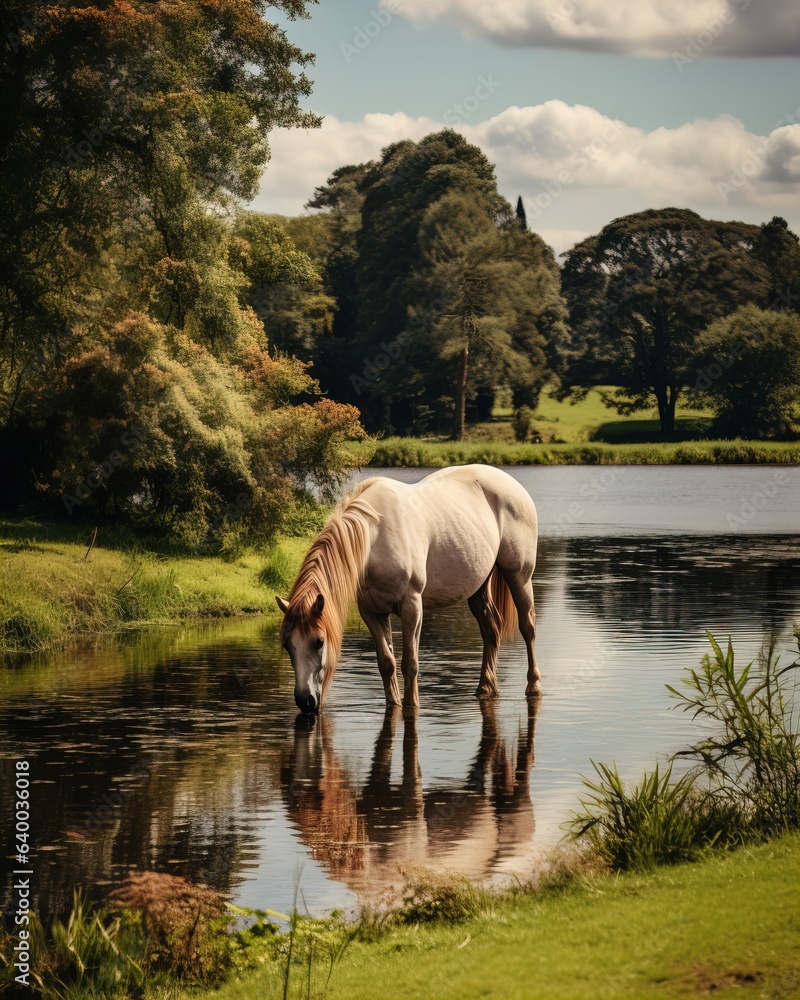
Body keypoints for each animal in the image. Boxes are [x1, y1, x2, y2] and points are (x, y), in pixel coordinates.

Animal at [276, 464, 544, 716]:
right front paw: (393, 704)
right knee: (491, 630)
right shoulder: (372, 612)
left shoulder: (412, 606)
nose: (305, 701)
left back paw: (533, 687)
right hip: (478, 586)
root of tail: (512, 484)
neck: (374, 541)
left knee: (527, 626)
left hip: (519, 575)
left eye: (319, 642)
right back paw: (485, 687)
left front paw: (411, 705)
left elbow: (410, 663)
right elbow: (386, 663)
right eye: (287, 644)